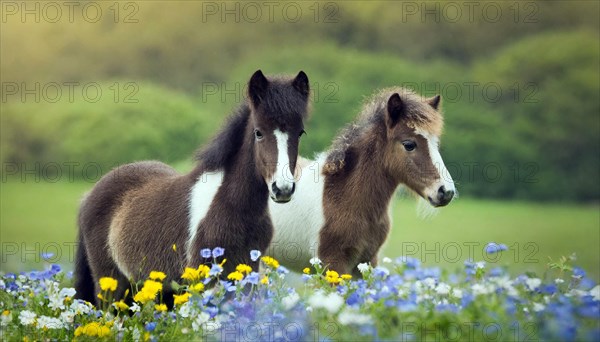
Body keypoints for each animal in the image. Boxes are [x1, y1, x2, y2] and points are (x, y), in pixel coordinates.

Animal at [74, 70, 310, 304]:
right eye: (259, 132)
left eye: (300, 133)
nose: (282, 189)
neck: (233, 206)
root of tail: (88, 196)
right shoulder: (200, 274)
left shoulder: (247, 270)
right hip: (112, 286)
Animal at [268, 87, 454, 276]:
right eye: (409, 144)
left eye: (436, 144)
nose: (446, 192)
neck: (343, 196)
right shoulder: (331, 261)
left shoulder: (367, 261)